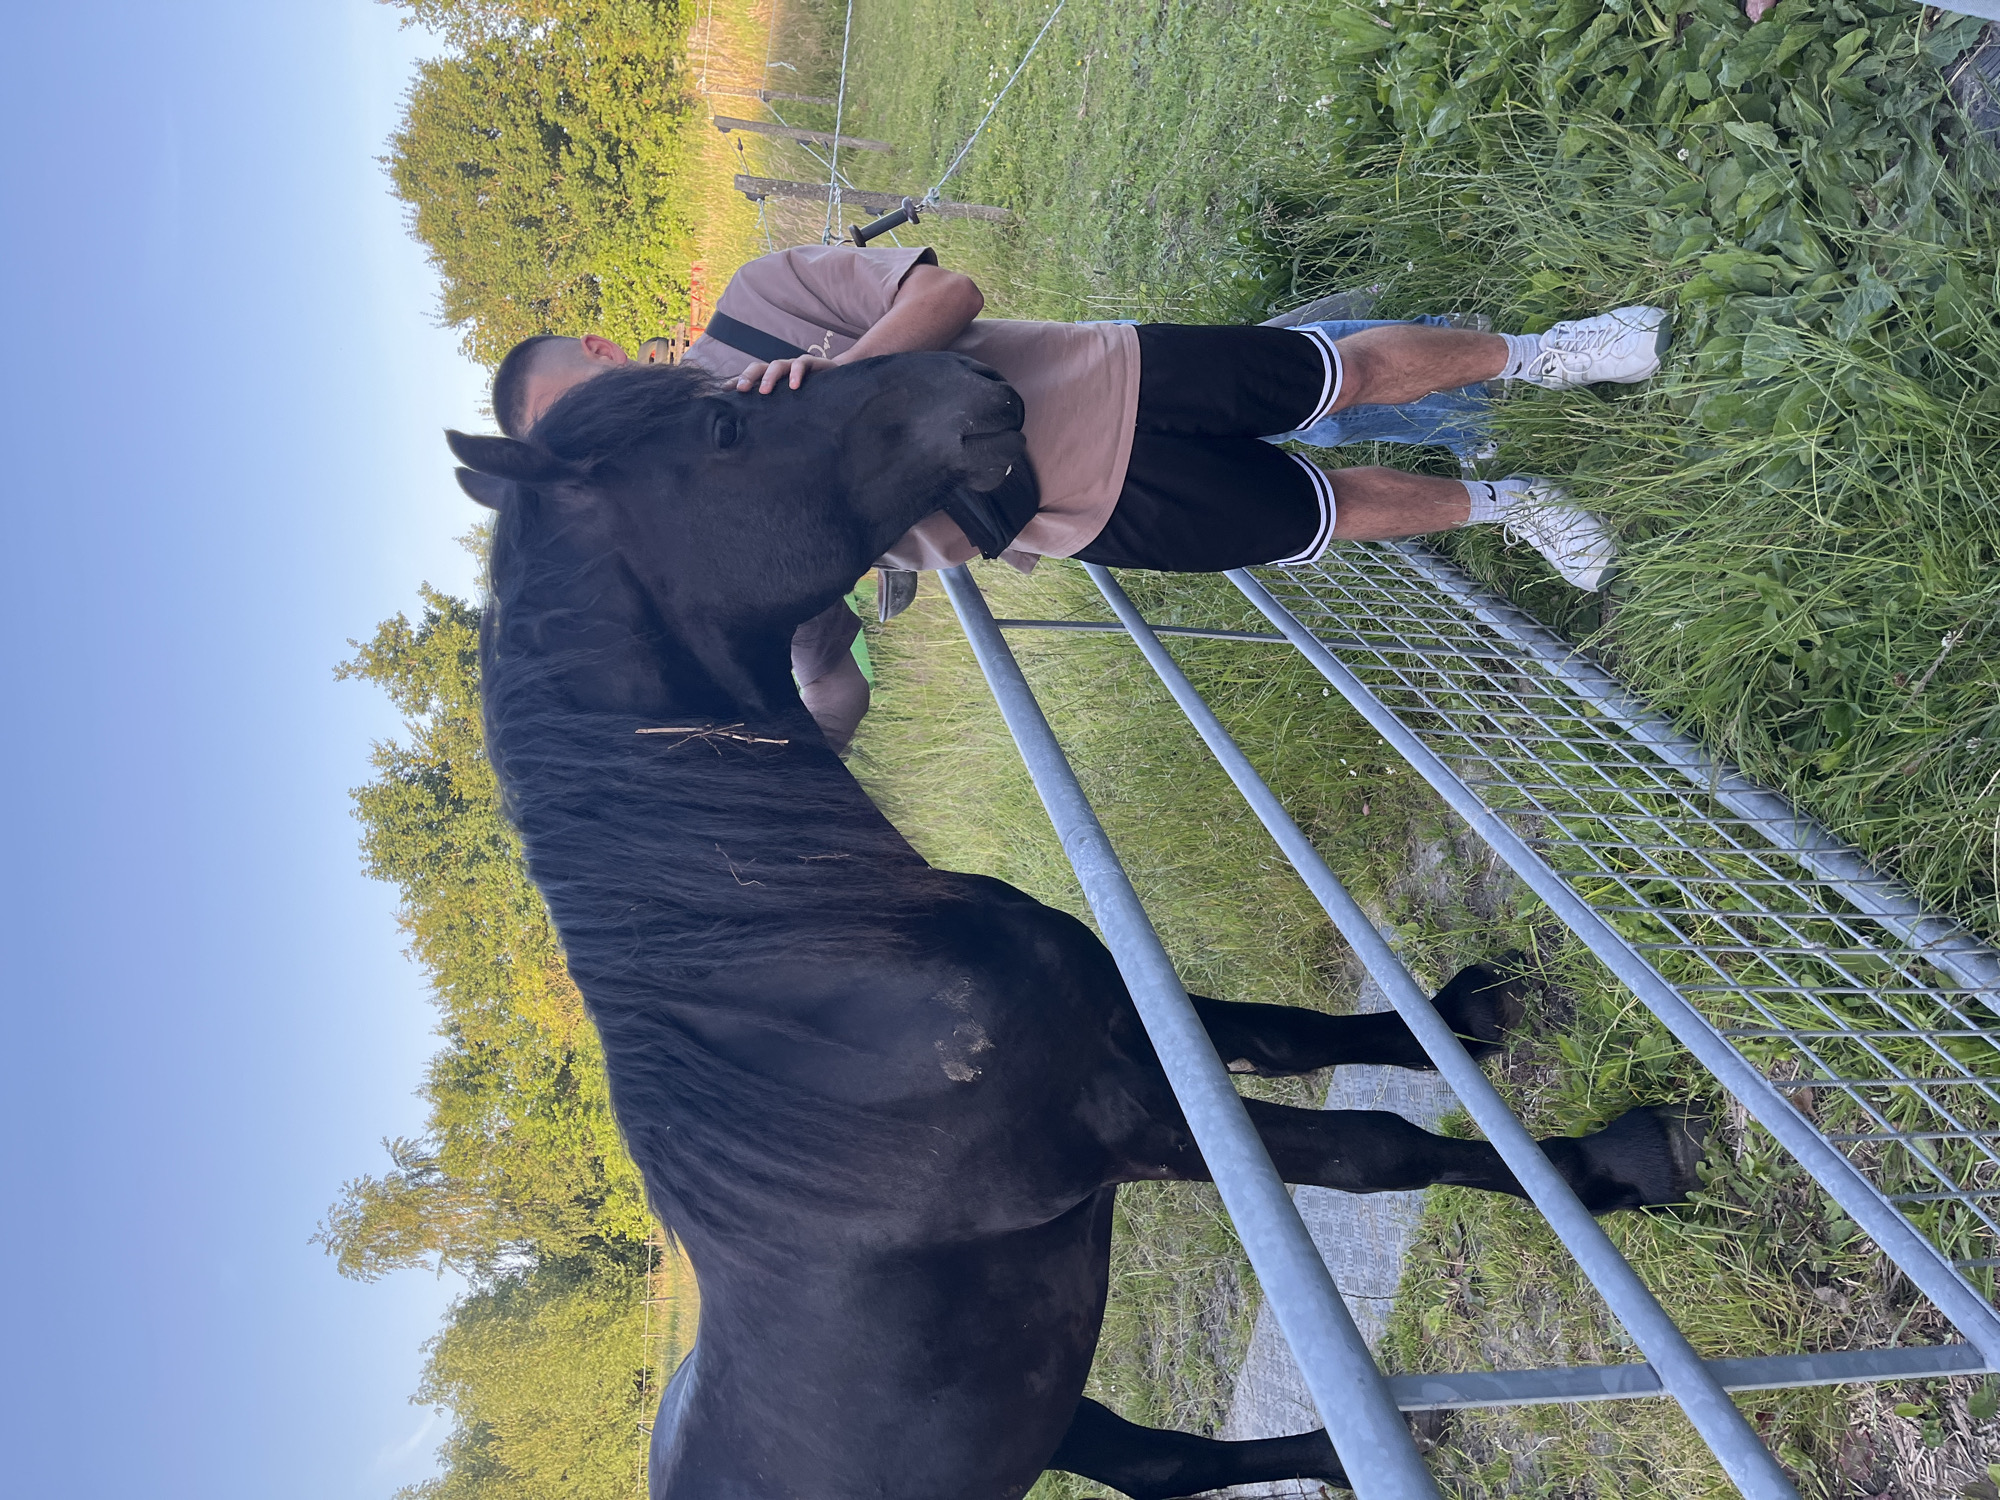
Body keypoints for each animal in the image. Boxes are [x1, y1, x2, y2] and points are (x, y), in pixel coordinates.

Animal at [446, 352, 1704, 1500]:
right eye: (722, 429)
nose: (966, 374)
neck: (818, 993)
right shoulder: (1130, 1124)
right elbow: (1373, 1152)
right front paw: (1614, 1167)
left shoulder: (1127, 1021)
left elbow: (1293, 1035)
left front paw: (1472, 1016)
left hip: (1048, 1414)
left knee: (1156, 1464)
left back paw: (1341, 1452)